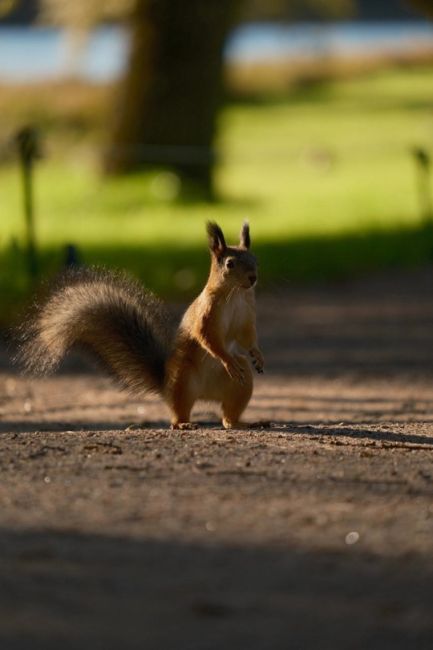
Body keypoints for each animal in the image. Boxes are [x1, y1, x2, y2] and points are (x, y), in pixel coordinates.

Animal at [16, 220, 264, 428]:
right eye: (230, 264)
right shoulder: (206, 314)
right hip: (183, 381)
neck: (235, 294)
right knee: (178, 413)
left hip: (240, 385)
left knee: (228, 415)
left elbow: (246, 336)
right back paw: (184, 423)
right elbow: (206, 337)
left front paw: (257, 355)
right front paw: (227, 360)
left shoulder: (246, 314)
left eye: (255, 259)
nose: (253, 278)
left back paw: (241, 423)